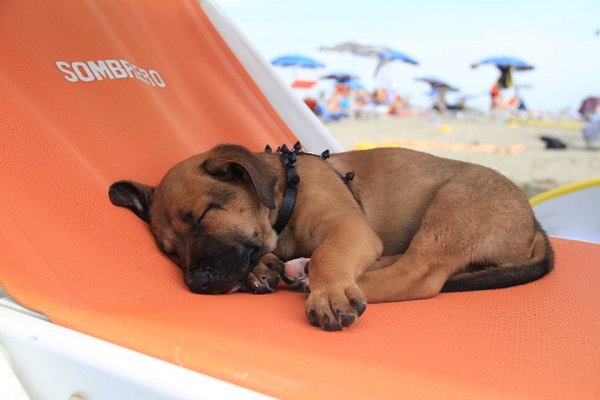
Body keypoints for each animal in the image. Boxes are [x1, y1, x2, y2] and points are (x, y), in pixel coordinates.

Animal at [109, 144, 552, 332]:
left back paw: (312, 281)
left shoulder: (347, 228)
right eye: (169, 252)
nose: (197, 283)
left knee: (418, 275)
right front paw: (258, 269)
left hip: (453, 204)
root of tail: (536, 228)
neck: (288, 194)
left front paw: (328, 293)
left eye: (204, 216)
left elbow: (329, 255)